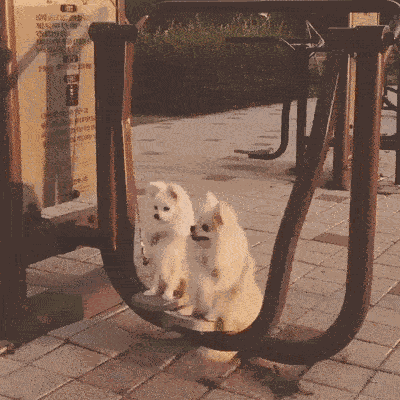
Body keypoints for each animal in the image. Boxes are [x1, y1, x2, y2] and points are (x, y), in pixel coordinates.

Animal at [186, 192, 263, 361]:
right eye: (196, 222)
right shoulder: (201, 283)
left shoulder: (224, 289)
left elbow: (217, 304)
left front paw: (210, 316)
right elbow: (198, 298)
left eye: (205, 227)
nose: (191, 227)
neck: (210, 255)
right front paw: (195, 312)